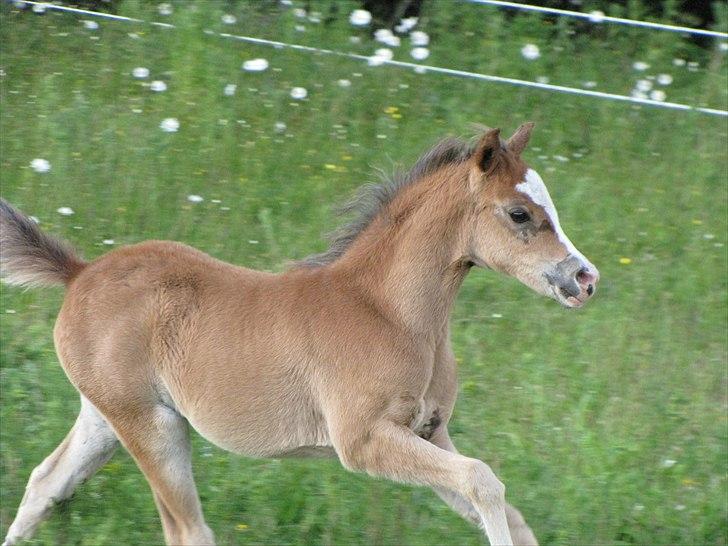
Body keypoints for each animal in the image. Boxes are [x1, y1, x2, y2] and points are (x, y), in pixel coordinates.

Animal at [0, 123, 599, 546]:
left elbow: (507, 513)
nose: (585, 278)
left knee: (44, 484)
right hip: (152, 427)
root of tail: (79, 273)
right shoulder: (363, 441)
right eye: (519, 214)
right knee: (187, 531)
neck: (387, 312)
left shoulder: (429, 433)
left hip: (106, 418)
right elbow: (483, 480)